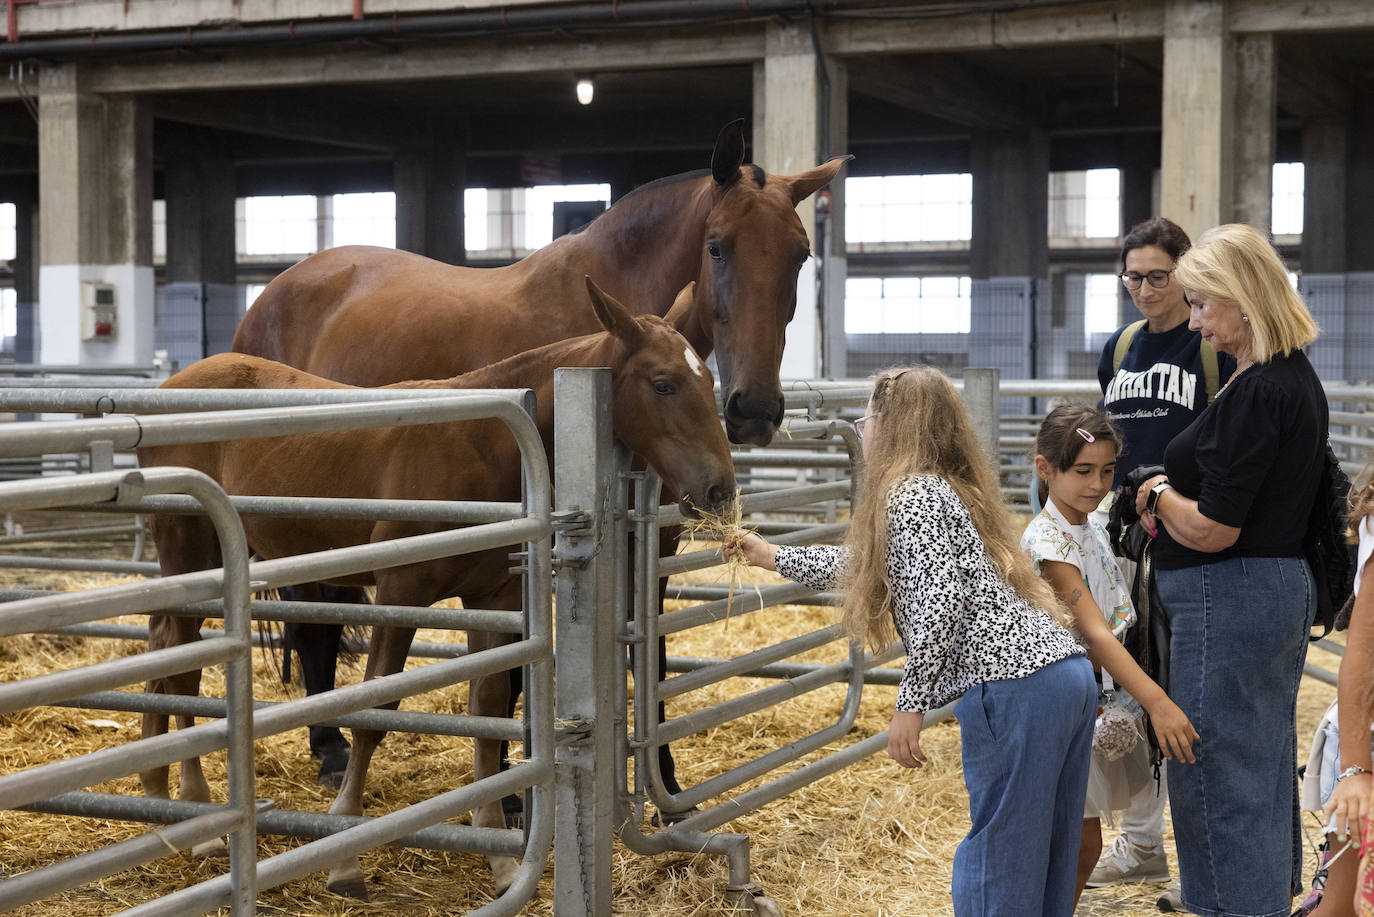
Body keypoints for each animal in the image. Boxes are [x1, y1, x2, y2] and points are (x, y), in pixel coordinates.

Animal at [138, 277, 736, 896]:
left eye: (706, 379)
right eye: (663, 383)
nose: (721, 489)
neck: (485, 443)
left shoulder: (492, 598)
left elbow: (488, 708)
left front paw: (499, 855)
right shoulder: (401, 592)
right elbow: (379, 707)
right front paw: (345, 855)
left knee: (163, 646)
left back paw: (159, 795)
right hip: (190, 553)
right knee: (180, 663)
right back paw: (198, 818)